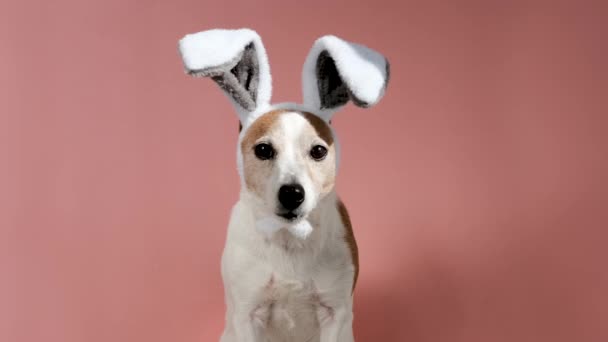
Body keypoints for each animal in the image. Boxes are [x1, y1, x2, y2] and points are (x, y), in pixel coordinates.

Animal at [178, 28, 392, 340]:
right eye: (263, 149)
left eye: (319, 151)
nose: (292, 193)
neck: (289, 238)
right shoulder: (247, 314)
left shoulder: (334, 312)